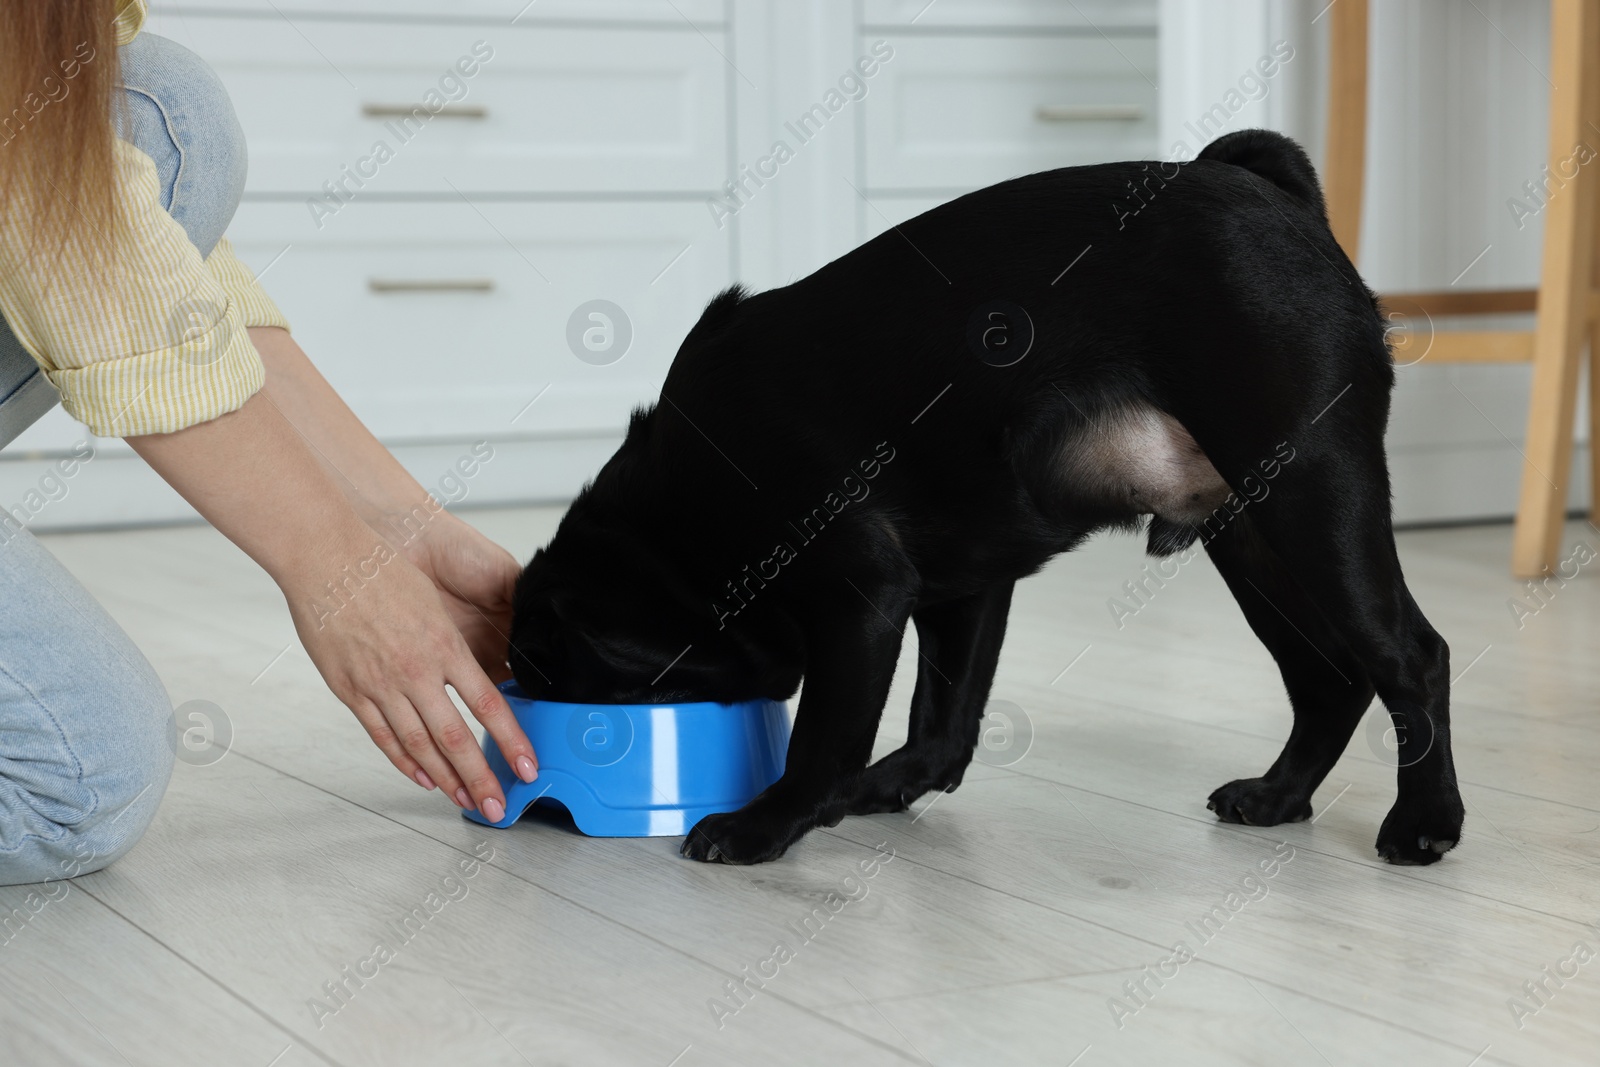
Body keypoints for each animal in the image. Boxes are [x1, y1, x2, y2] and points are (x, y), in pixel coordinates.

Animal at [508, 131, 1465, 870]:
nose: (518, 680)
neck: (674, 528)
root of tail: (1281, 204)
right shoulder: (963, 587)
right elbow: (944, 718)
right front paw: (879, 787)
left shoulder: (861, 596)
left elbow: (826, 733)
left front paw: (765, 824)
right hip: (1252, 536)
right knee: (1330, 676)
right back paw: (1278, 794)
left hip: (1311, 495)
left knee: (1411, 656)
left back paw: (1423, 822)